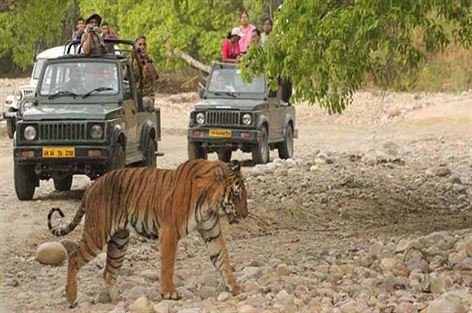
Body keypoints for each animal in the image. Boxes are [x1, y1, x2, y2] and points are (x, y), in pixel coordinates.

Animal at [46, 160, 249, 306]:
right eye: (237, 194)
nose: (245, 215)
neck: (210, 204)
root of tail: (92, 186)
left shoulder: (211, 233)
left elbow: (223, 259)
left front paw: (235, 287)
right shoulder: (169, 231)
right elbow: (168, 264)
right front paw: (169, 292)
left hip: (119, 242)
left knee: (108, 272)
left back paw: (118, 301)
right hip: (96, 235)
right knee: (73, 257)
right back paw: (71, 297)